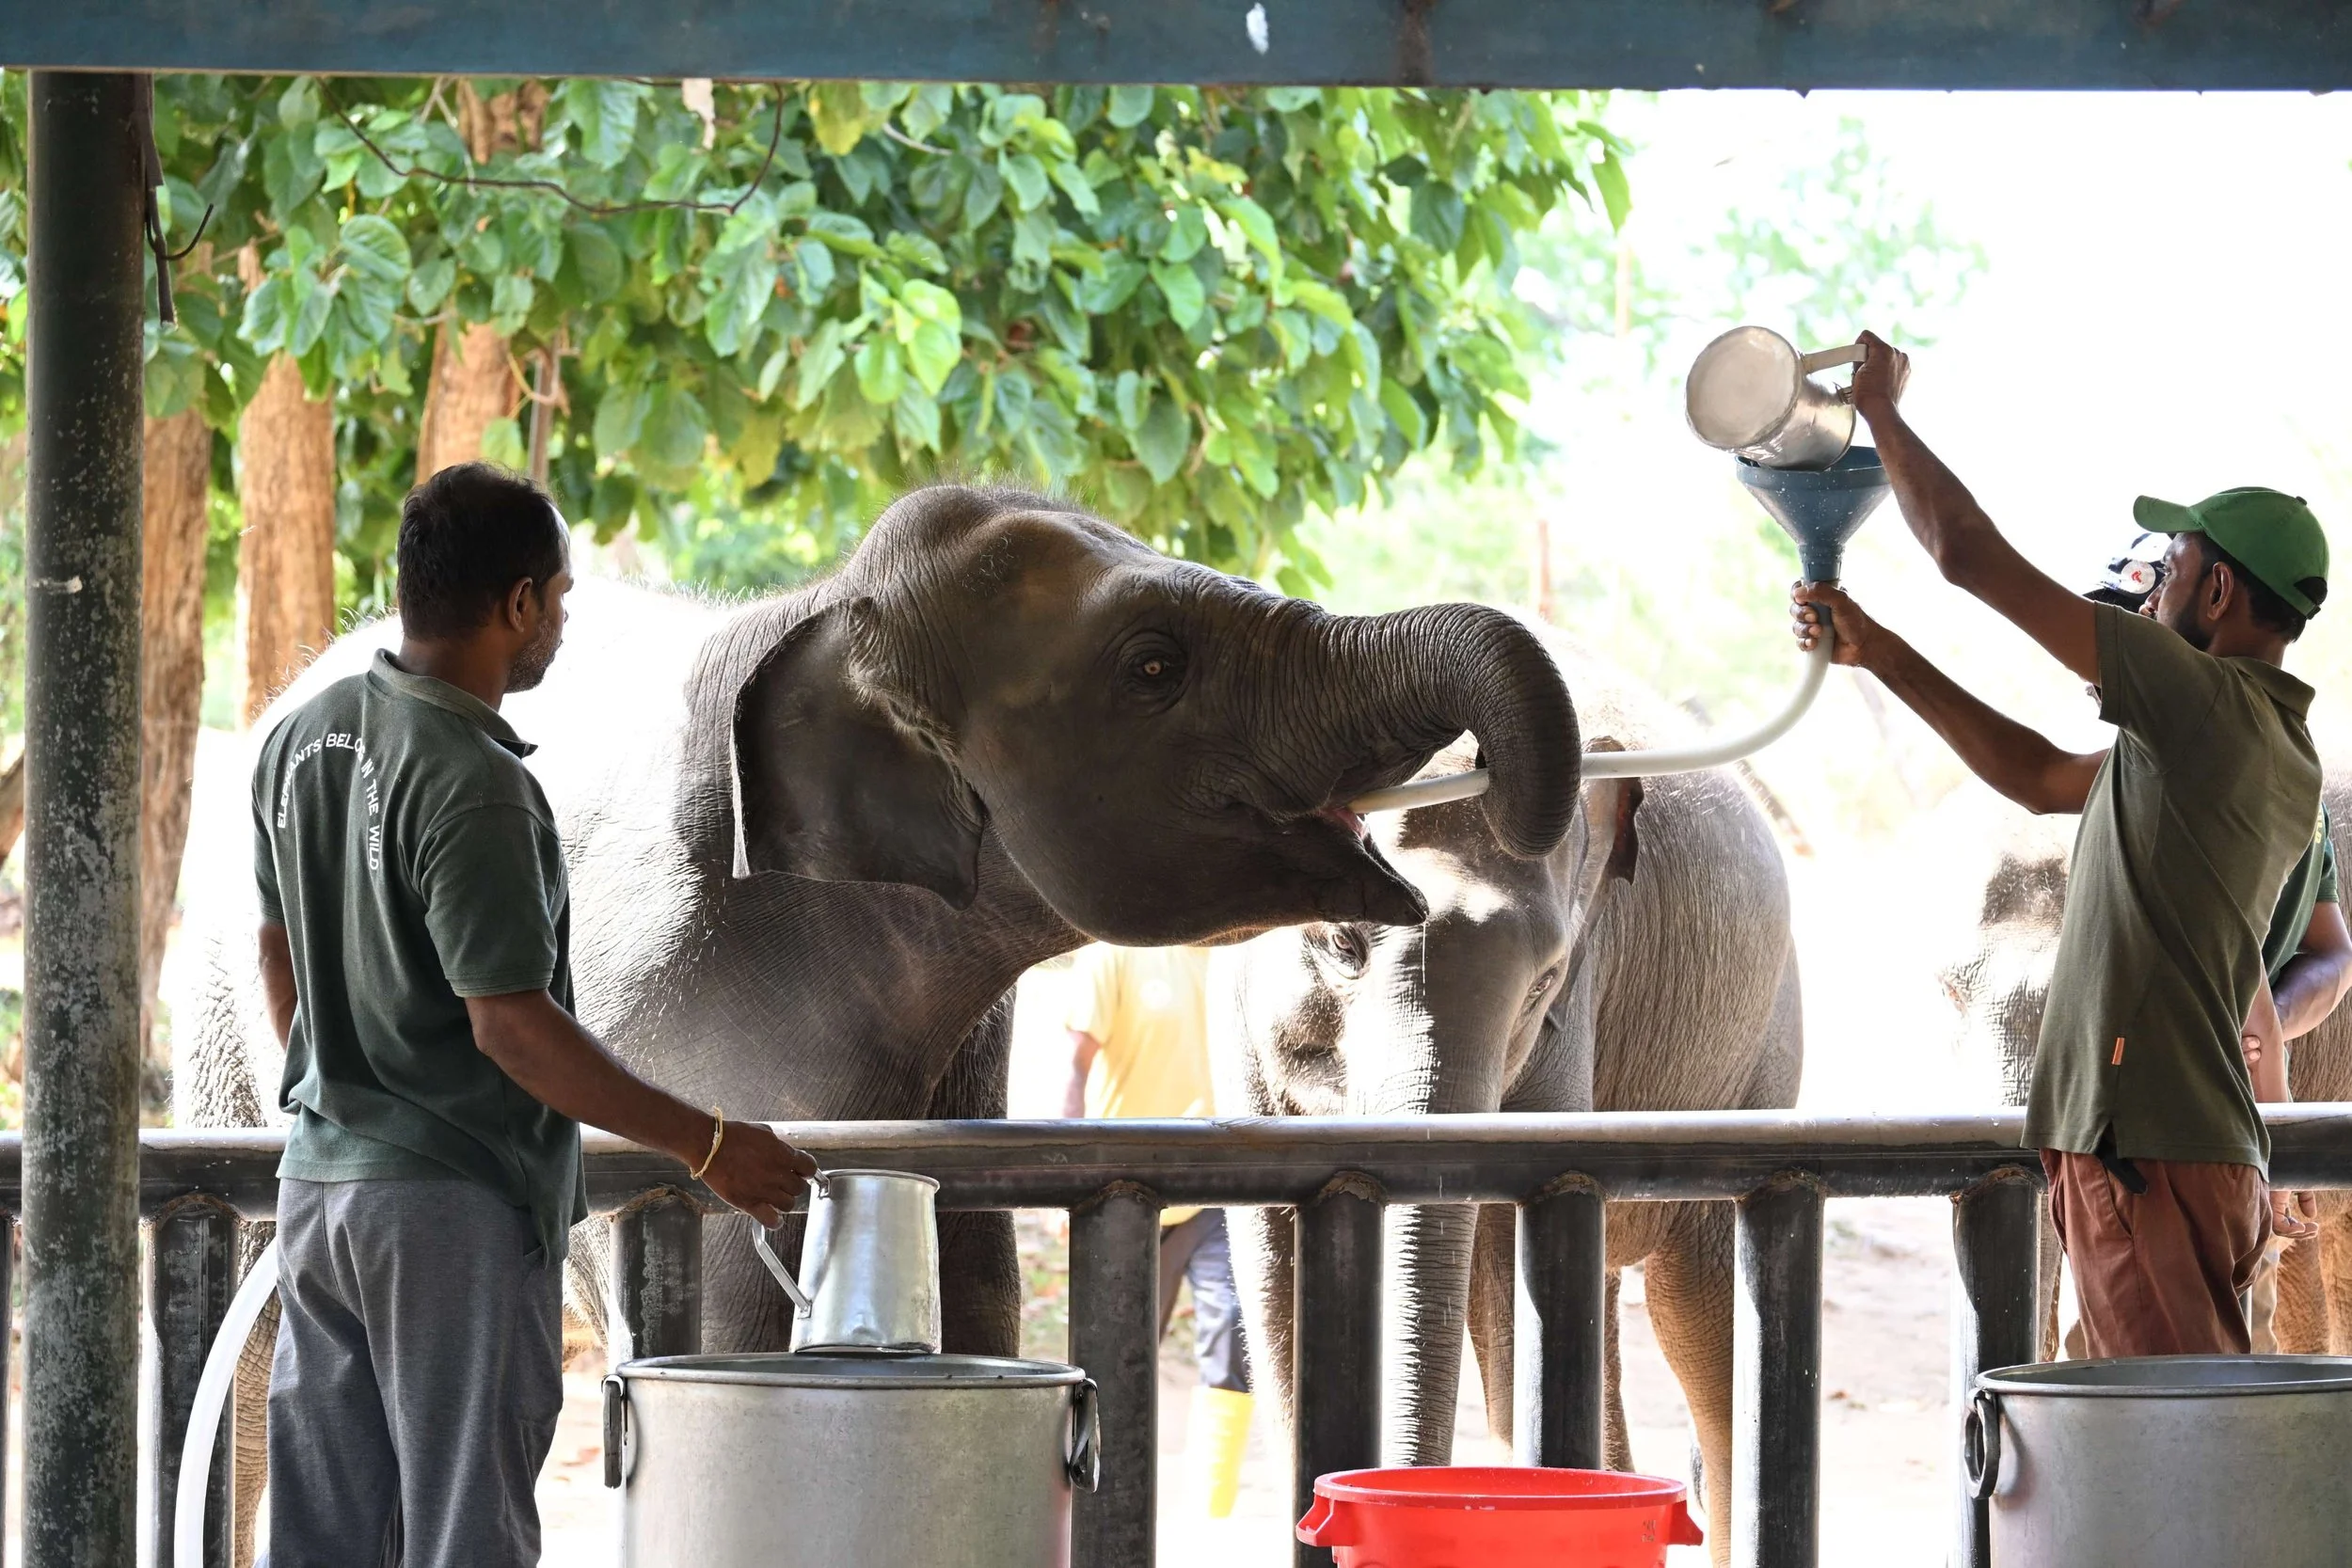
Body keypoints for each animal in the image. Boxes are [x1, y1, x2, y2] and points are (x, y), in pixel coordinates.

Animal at [174, 483, 1582, 1557]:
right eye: (1154, 665)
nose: (1501, 801)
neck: (821, 611)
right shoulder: (669, 985)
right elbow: (729, 1303)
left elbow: (979, 1279)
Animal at [1211, 631, 1802, 1565]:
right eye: (1341, 942)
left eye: (1545, 982)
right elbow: (1276, 1275)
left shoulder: (1577, 1009)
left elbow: (1508, 1276)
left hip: (1759, 1055)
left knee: (1697, 1311)